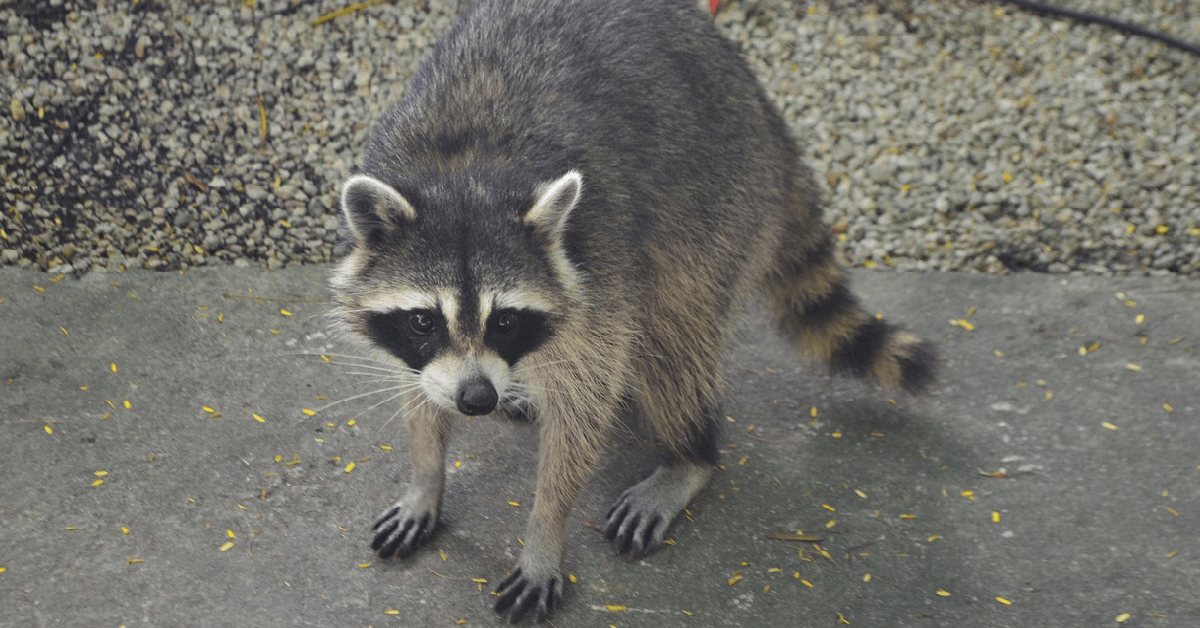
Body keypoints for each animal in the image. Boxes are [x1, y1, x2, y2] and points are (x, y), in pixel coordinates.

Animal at [328, 0, 936, 619]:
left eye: (506, 320)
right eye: (423, 320)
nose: (477, 398)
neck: (465, 173)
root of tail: (769, 120)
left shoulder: (601, 266)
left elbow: (584, 408)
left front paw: (545, 531)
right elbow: (421, 390)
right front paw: (426, 477)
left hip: (716, 202)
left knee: (674, 342)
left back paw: (691, 454)